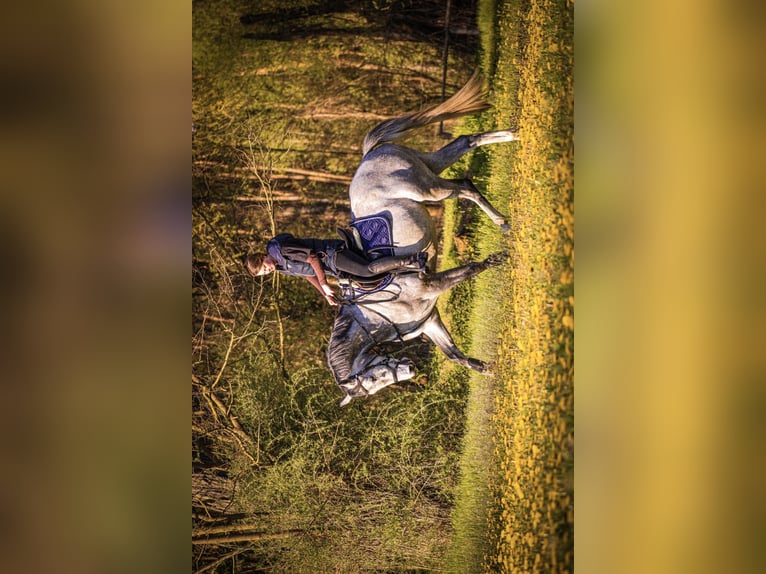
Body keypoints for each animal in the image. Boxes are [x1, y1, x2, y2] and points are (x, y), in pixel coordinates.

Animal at [328, 73, 520, 410]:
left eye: (374, 376)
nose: (409, 369)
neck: (380, 313)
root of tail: (367, 157)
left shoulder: (431, 286)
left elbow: (471, 269)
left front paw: (498, 260)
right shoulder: (431, 320)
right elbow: (456, 356)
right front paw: (489, 369)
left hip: (427, 189)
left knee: (464, 187)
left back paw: (503, 221)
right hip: (428, 166)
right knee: (466, 142)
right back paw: (512, 136)